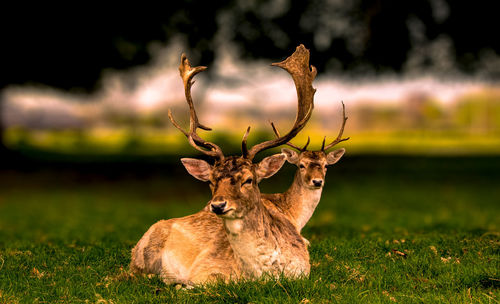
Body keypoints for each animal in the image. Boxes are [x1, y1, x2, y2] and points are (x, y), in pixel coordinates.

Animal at [130, 44, 316, 286]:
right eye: (211, 181)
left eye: (249, 179)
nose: (217, 205)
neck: (263, 275)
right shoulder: (203, 271)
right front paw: (179, 284)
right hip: (143, 253)